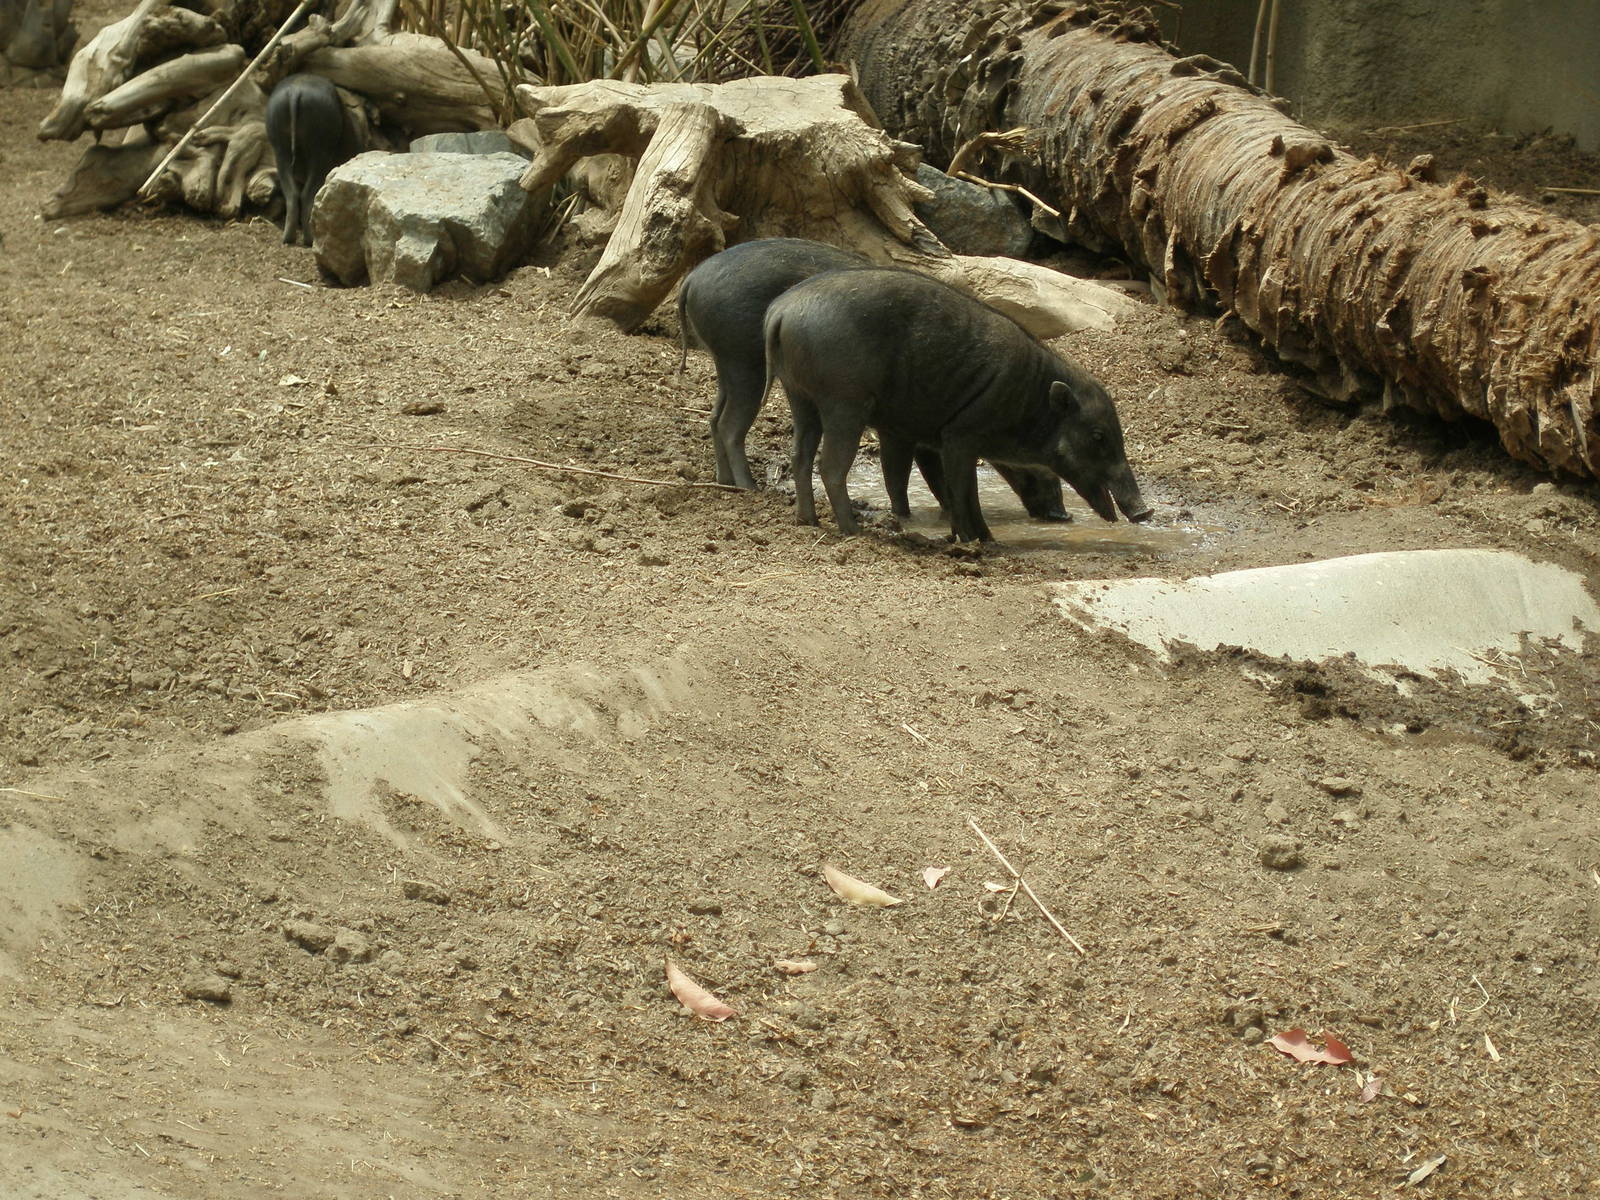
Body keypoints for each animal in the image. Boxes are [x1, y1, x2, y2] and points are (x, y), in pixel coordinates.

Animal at [265, 73, 359, 247]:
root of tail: (295, 92)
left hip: (280, 148)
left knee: (293, 195)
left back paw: (288, 239)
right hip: (319, 151)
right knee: (307, 195)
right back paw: (310, 240)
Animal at [677, 237, 1070, 522]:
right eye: (1038, 463)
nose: (1062, 515)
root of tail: (691, 279)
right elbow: (914, 475)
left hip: (726, 362)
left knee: (714, 418)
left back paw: (726, 482)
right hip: (743, 361)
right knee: (730, 425)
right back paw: (750, 488)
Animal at [763, 268, 1152, 542]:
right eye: (1099, 436)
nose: (1144, 513)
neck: (1029, 397)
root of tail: (781, 311)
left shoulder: (932, 438)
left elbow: (942, 487)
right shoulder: (960, 435)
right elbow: (964, 490)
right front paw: (982, 540)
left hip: (800, 396)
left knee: (800, 457)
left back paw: (808, 520)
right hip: (843, 401)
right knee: (830, 466)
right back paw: (853, 530)